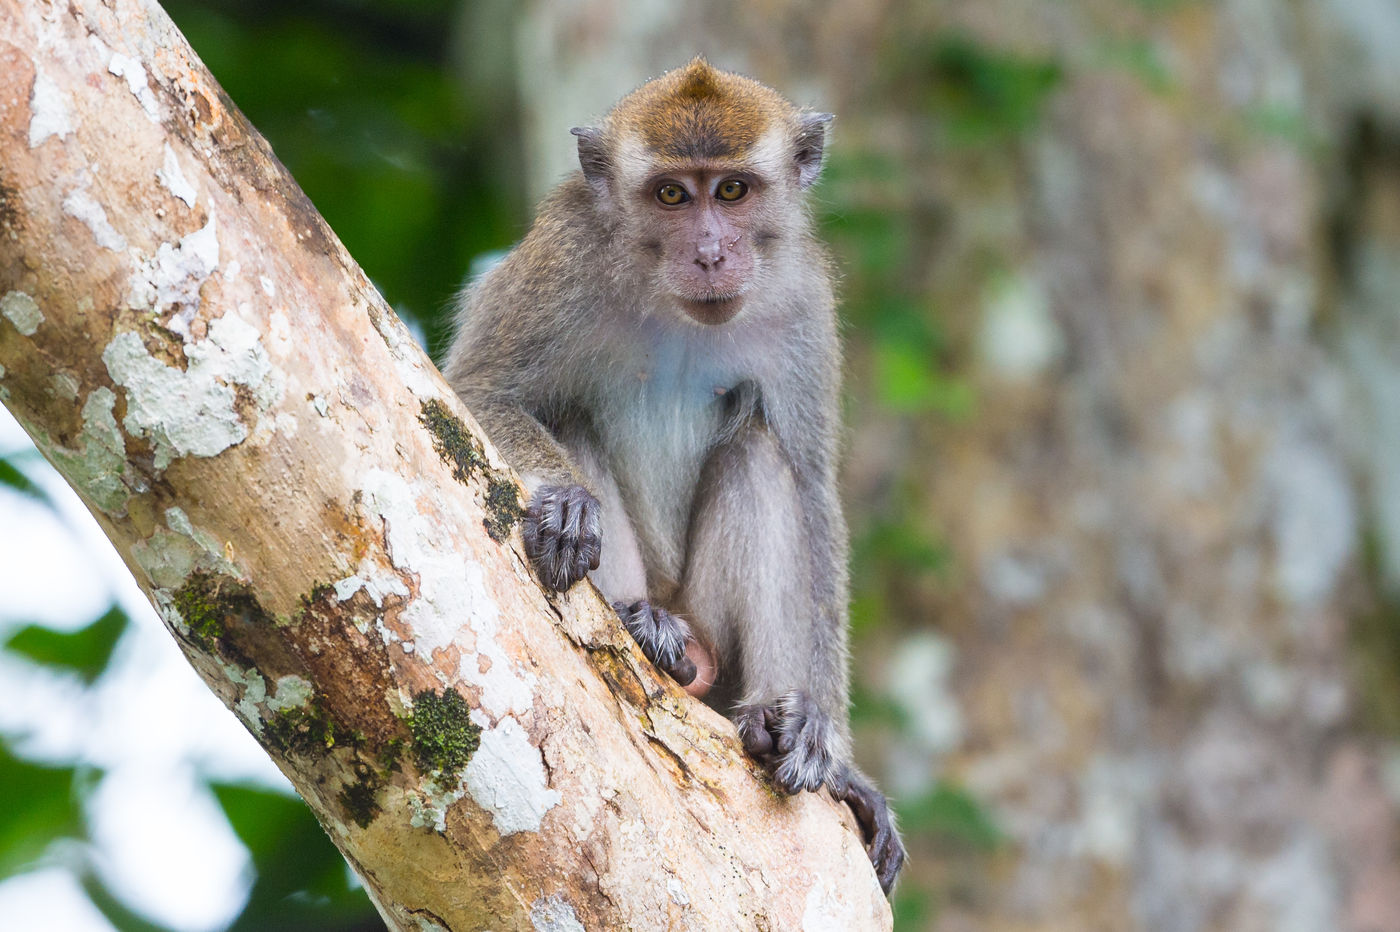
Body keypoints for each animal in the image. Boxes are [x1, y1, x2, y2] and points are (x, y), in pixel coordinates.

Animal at [445, 54, 907, 890]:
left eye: (732, 191)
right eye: (670, 195)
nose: (712, 254)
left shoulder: (802, 300)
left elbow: (812, 488)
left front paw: (832, 747)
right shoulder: (563, 254)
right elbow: (480, 388)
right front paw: (564, 501)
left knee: (759, 451)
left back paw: (769, 717)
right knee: (569, 416)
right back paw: (637, 619)